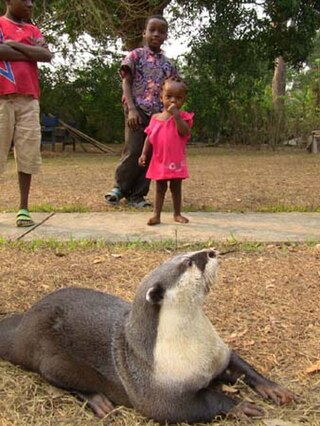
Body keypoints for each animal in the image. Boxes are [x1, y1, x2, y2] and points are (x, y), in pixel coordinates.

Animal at [0, 250, 296, 422]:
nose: (211, 251)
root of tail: (22, 325)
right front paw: (240, 406)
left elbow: (242, 367)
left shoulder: (217, 354)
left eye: (189, 251)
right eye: (190, 262)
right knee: (57, 378)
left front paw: (274, 389)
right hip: (52, 358)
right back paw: (99, 402)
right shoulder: (160, 396)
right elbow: (199, 404)